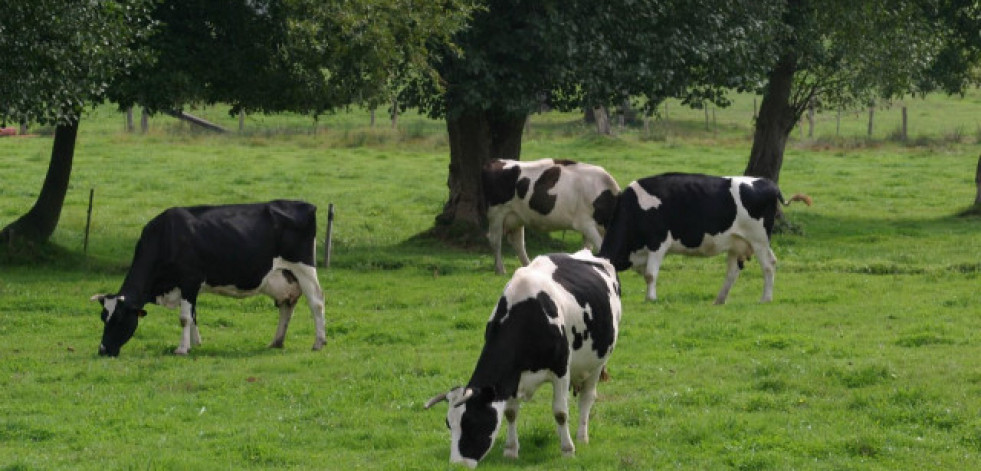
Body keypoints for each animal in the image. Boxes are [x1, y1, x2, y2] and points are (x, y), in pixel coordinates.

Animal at [89, 200, 326, 358]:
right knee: (287, 306)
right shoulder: (190, 287)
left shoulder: (189, 280)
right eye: (103, 318)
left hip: (304, 268)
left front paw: (182, 349)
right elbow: (193, 315)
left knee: (316, 302)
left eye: (119, 319)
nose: (102, 350)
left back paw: (318, 342)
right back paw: (276, 342)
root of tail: (306, 205)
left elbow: (184, 317)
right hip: (286, 277)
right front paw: (195, 344)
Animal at [424, 251, 620, 468]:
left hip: (598, 362)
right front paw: (511, 450)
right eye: (449, 424)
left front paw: (568, 450)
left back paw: (581, 437)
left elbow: (560, 412)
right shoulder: (511, 378)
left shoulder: (561, 370)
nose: (458, 465)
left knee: (587, 397)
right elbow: (510, 412)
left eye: (472, 423)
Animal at [478, 159, 616, 274]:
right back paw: (500, 269)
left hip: (517, 216)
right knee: (495, 240)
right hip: (497, 213)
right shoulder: (585, 224)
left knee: (518, 242)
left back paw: (527, 265)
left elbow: (588, 248)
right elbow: (600, 247)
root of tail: (496, 161)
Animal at [596, 173, 812, 306]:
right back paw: (719, 300)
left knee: (769, 264)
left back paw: (765, 298)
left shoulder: (658, 242)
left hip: (759, 240)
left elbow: (650, 274)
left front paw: (651, 298)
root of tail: (768, 183)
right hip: (736, 243)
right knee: (732, 272)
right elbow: (646, 274)